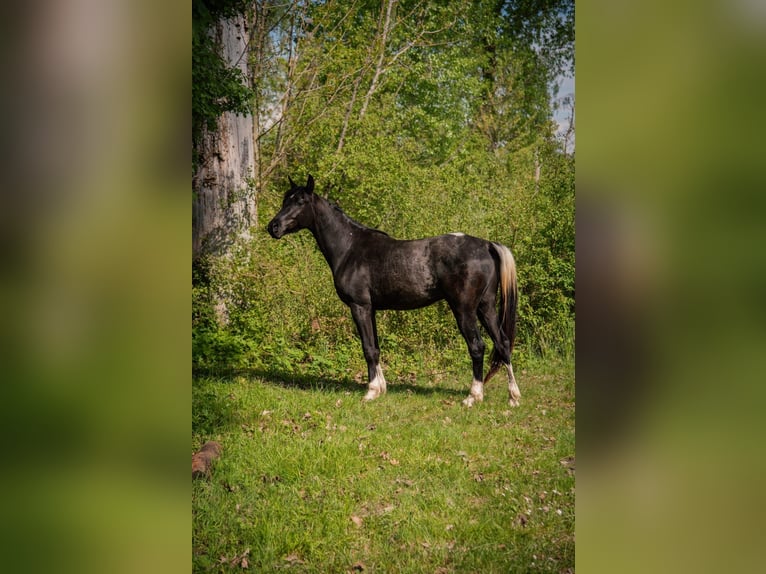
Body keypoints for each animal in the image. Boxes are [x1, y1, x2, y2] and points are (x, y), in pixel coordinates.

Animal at [266, 173, 520, 408]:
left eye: (300, 201)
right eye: (285, 199)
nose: (273, 227)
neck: (350, 248)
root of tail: (486, 245)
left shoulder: (359, 307)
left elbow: (368, 348)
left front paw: (370, 392)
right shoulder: (371, 309)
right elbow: (376, 348)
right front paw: (380, 388)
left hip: (464, 310)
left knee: (477, 347)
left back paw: (473, 396)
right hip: (486, 307)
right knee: (503, 343)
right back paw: (513, 397)